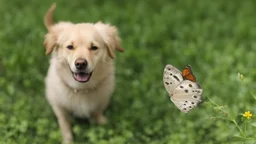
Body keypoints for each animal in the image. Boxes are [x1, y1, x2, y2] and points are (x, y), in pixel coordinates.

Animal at [43, 3, 124, 143]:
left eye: (94, 47)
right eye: (70, 47)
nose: (80, 63)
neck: (82, 88)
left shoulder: (102, 100)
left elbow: (97, 111)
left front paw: (102, 122)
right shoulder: (59, 107)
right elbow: (65, 124)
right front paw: (67, 140)